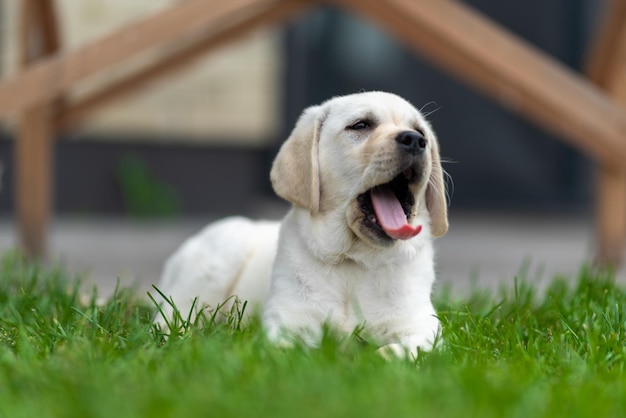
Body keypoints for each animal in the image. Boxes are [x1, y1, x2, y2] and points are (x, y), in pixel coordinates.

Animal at [158, 90, 446, 356]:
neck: (353, 261)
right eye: (361, 125)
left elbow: (392, 351)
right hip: (218, 258)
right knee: (171, 315)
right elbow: (289, 351)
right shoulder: (288, 322)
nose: (415, 140)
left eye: (420, 131)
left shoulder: (422, 326)